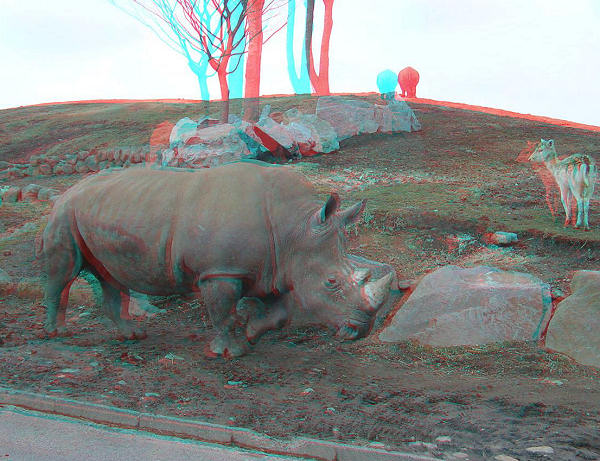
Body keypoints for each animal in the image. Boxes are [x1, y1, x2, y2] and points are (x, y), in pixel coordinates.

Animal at [38, 160, 394, 357]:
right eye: (331, 283)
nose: (361, 330)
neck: (294, 229)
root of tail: (71, 188)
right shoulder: (220, 271)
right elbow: (223, 312)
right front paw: (232, 352)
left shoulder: (275, 269)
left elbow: (279, 314)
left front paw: (252, 333)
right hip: (65, 213)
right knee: (63, 273)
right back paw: (56, 334)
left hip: (102, 210)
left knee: (110, 276)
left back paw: (132, 335)